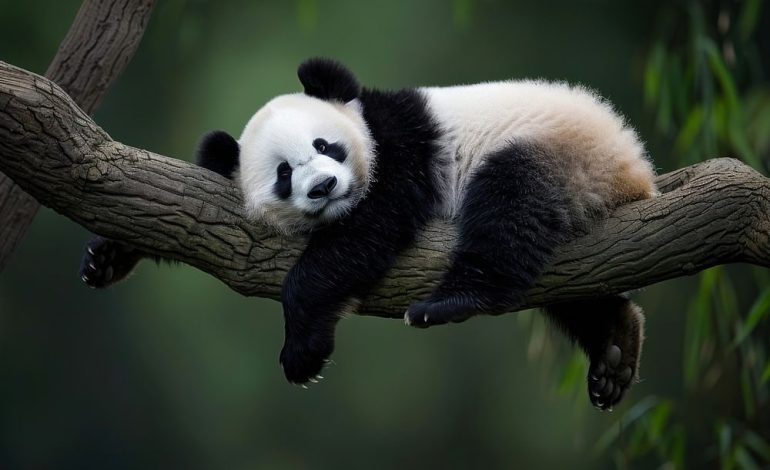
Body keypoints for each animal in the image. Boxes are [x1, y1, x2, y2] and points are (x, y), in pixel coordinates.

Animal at [80, 58, 655, 410]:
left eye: (325, 146)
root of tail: (634, 168)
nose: (325, 187)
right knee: (567, 284)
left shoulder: (401, 148)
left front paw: (303, 352)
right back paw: (614, 348)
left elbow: (369, 229)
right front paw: (109, 256)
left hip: (561, 154)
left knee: (509, 205)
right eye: (284, 173)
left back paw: (451, 301)